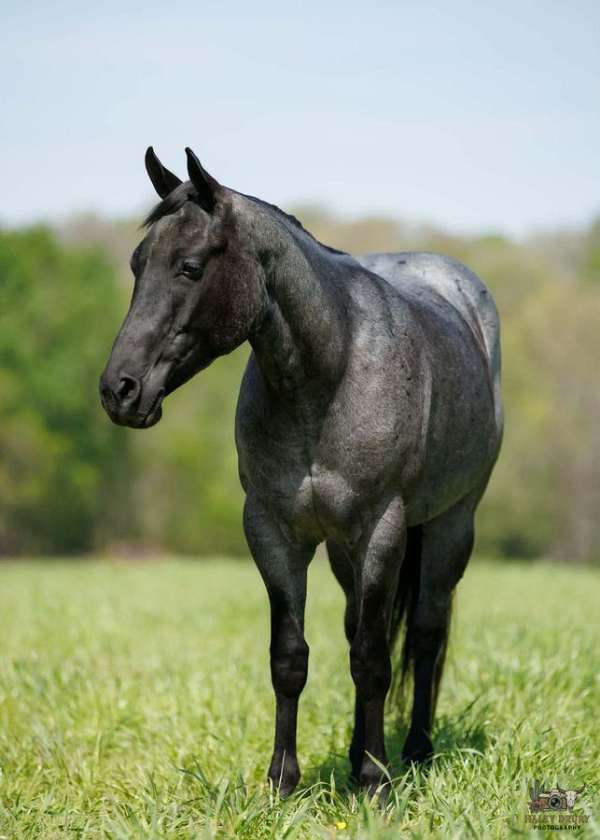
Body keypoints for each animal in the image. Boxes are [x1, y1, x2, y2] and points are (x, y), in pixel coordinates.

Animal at [100, 147, 503, 798]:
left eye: (189, 267)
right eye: (138, 265)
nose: (119, 391)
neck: (328, 378)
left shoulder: (381, 532)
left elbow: (373, 658)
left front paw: (375, 781)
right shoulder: (274, 532)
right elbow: (291, 656)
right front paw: (282, 782)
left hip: (450, 524)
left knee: (424, 633)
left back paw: (414, 752)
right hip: (342, 548)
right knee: (360, 628)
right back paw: (360, 749)